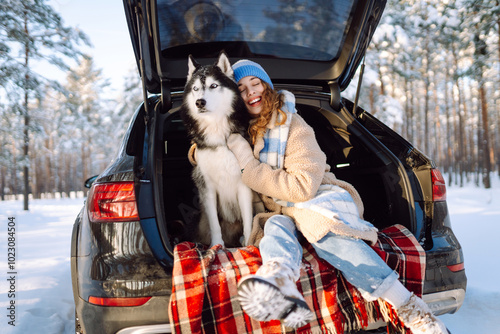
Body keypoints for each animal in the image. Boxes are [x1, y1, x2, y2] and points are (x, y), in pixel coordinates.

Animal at [180, 51, 254, 247]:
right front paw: (216, 245)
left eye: (213, 85)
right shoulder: (207, 188)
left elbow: (248, 220)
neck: (216, 129)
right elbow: (214, 224)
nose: (199, 102)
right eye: (195, 88)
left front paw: (250, 242)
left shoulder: (244, 185)